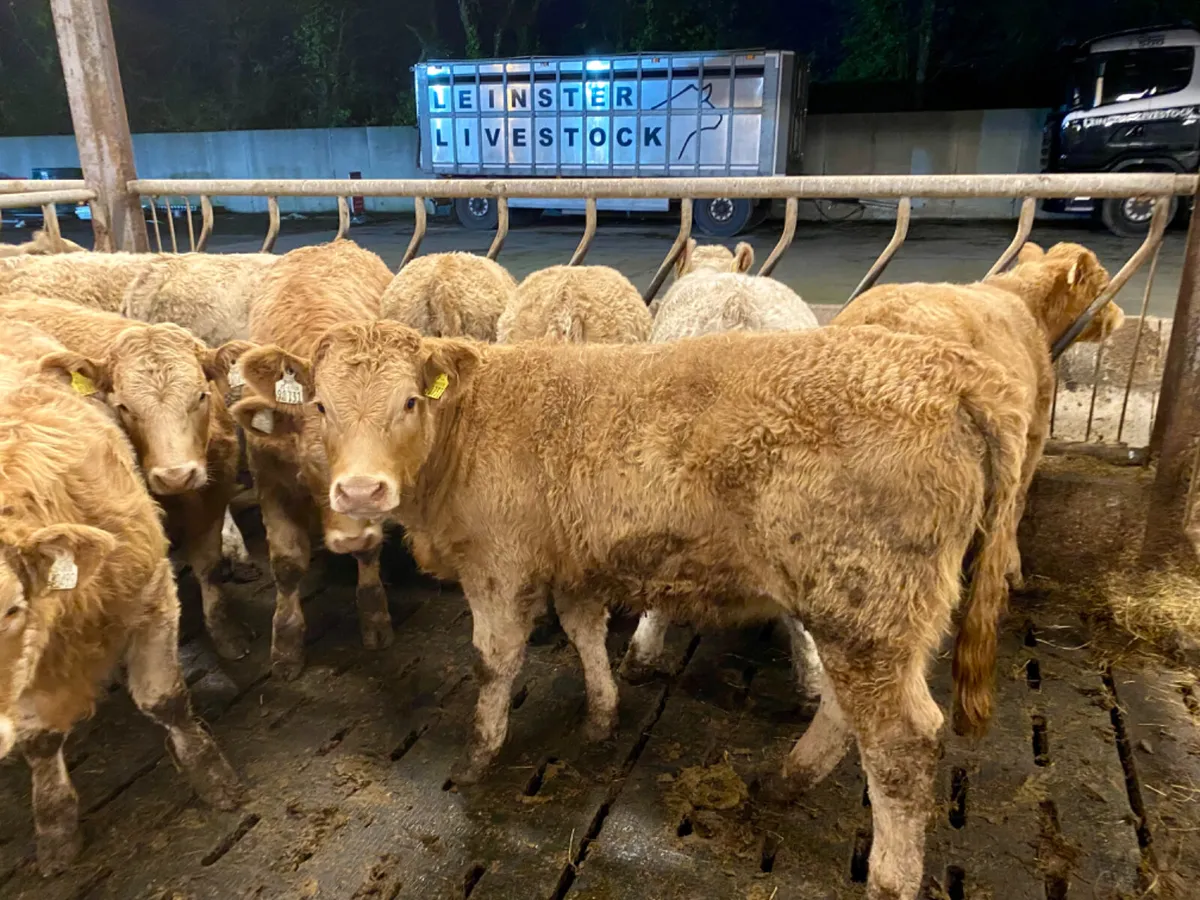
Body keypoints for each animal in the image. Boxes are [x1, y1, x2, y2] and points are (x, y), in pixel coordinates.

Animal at [0, 297, 255, 662]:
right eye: (123, 406)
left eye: (201, 396)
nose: (176, 475)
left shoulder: (214, 495)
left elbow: (209, 565)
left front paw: (227, 635)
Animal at [0, 328, 243, 878]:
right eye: (124, 406)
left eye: (201, 395)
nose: (174, 476)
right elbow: (39, 740)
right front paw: (56, 830)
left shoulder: (154, 590)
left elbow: (165, 698)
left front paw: (211, 774)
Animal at [225, 237, 393, 676]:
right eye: (316, 464)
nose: (351, 537)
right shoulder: (269, 480)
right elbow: (286, 563)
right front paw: (286, 644)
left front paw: (375, 620)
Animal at [248, 321, 1027, 900]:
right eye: (320, 406)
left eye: (410, 400)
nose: (360, 492)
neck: (468, 429)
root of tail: (954, 372)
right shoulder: (576, 557)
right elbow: (584, 630)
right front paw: (601, 716)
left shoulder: (499, 565)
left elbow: (494, 662)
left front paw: (477, 756)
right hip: (866, 612)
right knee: (849, 711)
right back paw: (786, 780)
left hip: (866, 603)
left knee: (900, 744)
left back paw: (889, 879)